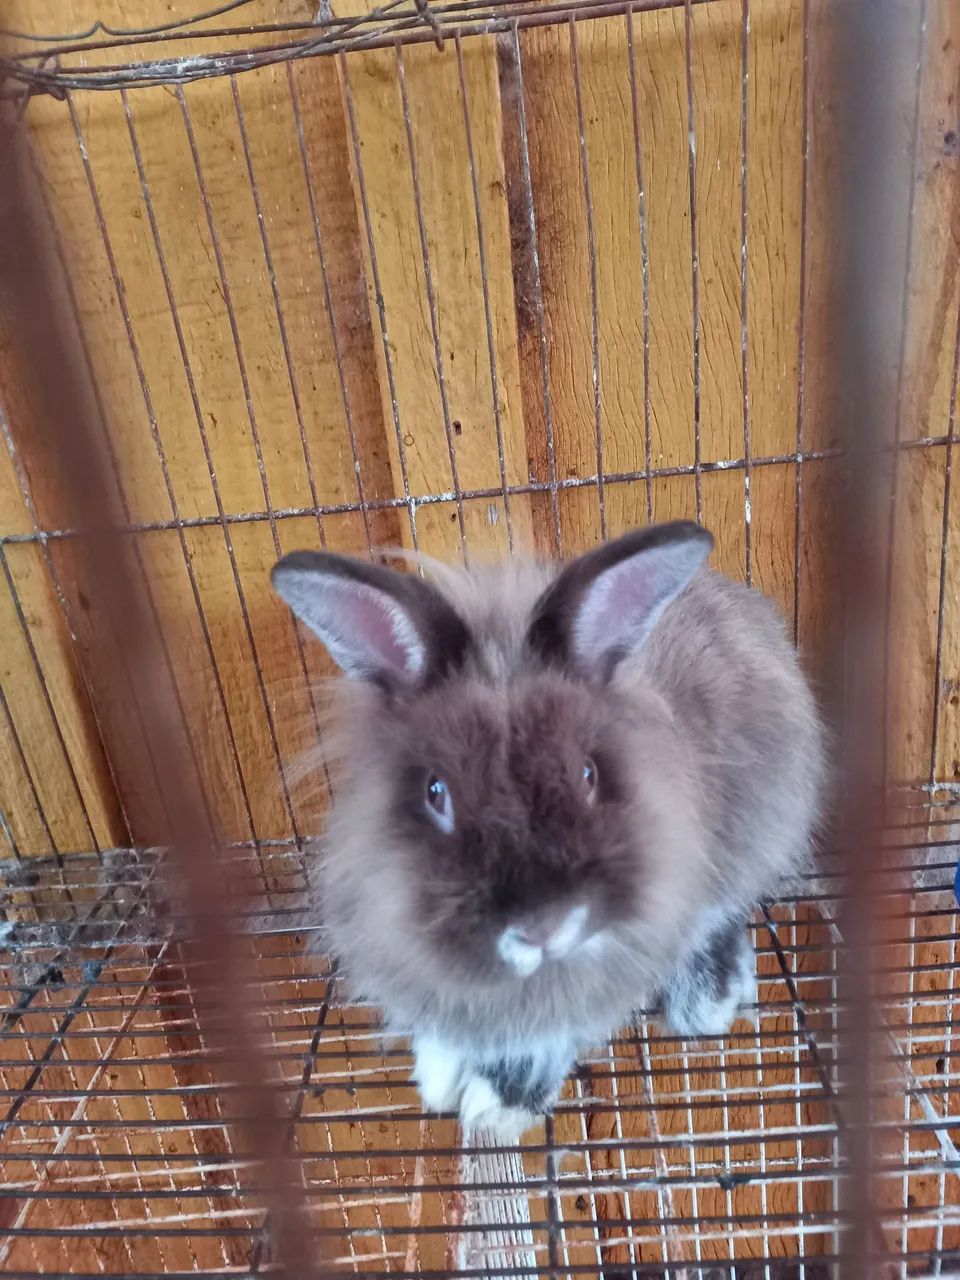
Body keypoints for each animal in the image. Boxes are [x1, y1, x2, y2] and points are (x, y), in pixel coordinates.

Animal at [271, 521, 825, 1139]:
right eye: (436, 792)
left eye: (588, 774)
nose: (545, 926)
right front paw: (439, 1069)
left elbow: (548, 1038)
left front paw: (497, 1103)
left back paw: (708, 999)